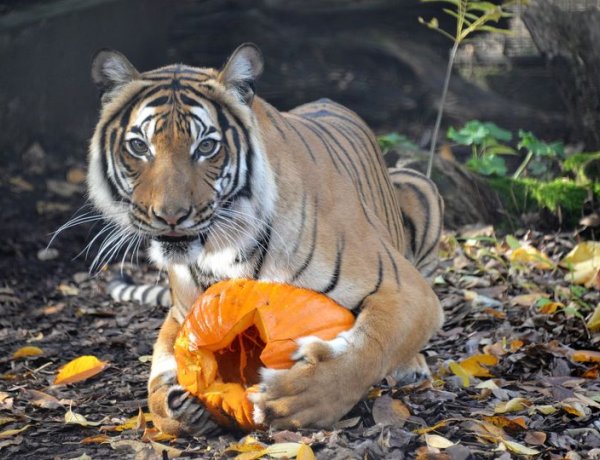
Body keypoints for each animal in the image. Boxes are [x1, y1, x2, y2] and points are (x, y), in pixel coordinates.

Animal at [90, 43, 446, 434]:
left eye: (207, 147)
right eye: (139, 147)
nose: (170, 216)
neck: (225, 249)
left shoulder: (403, 289)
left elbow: (369, 349)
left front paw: (299, 398)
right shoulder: (181, 312)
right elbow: (157, 381)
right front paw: (176, 406)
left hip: (420, 186)